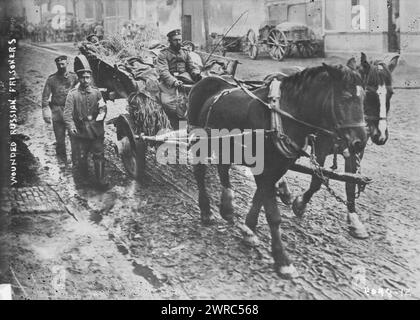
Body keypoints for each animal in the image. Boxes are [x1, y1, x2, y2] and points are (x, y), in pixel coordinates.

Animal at [187, 63, 368, 278]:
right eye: (345, 97)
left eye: (363, 97)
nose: (360, 142)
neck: (281, 118)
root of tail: (205, 80)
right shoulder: (264, 169)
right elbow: (273, 215)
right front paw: (282, 259)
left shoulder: (278, 168)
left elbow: (259, 197)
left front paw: (249, 229)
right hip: (198, 142)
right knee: (199, 173)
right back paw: (206, 211)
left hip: (226, 145)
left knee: (223, 169)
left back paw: (227, 207)